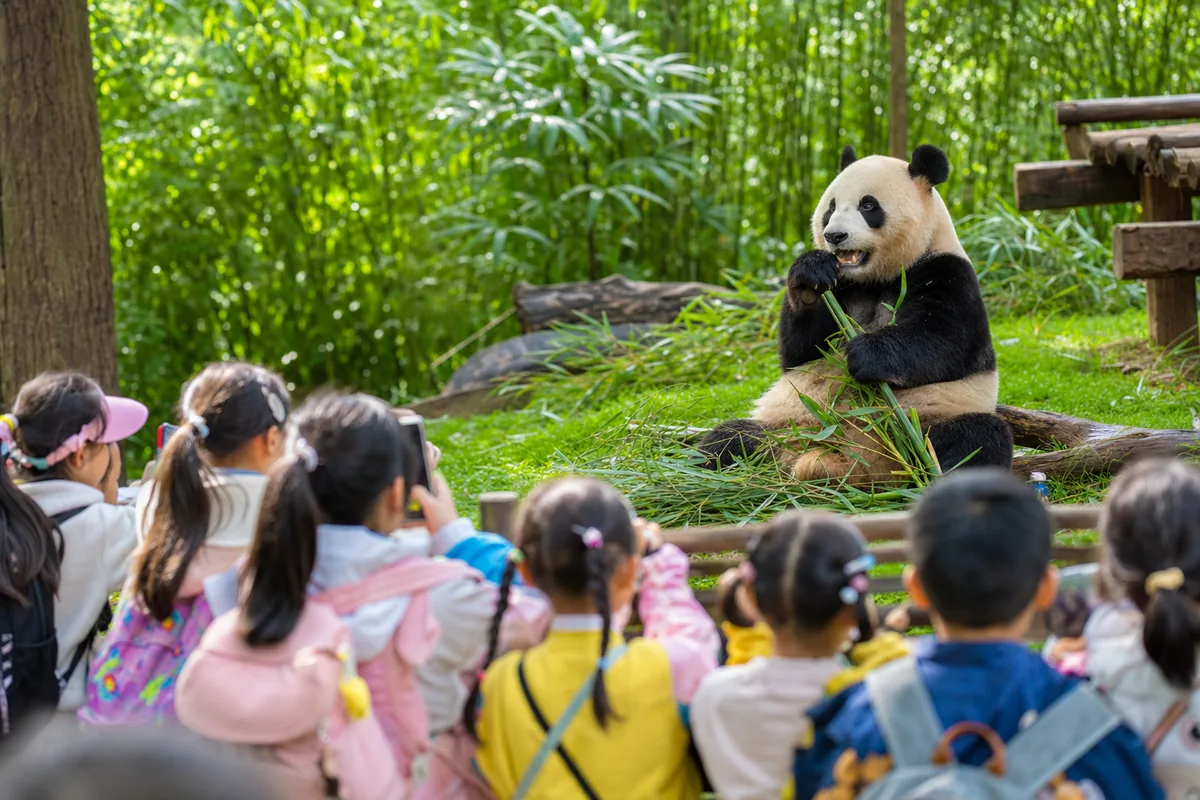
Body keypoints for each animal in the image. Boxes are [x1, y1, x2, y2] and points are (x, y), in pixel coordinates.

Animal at [699, 143, 1013, 485]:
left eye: (868, 205)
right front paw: (810, 275)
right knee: (730, 438)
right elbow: (800, 352)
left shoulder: (947, 271)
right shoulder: (842, 286)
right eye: (831, 207)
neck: (873, 279)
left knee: (976, 439)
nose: (834, 235)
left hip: (928, 421)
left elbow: (947, 340)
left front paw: (865, 354)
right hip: (785, 430)